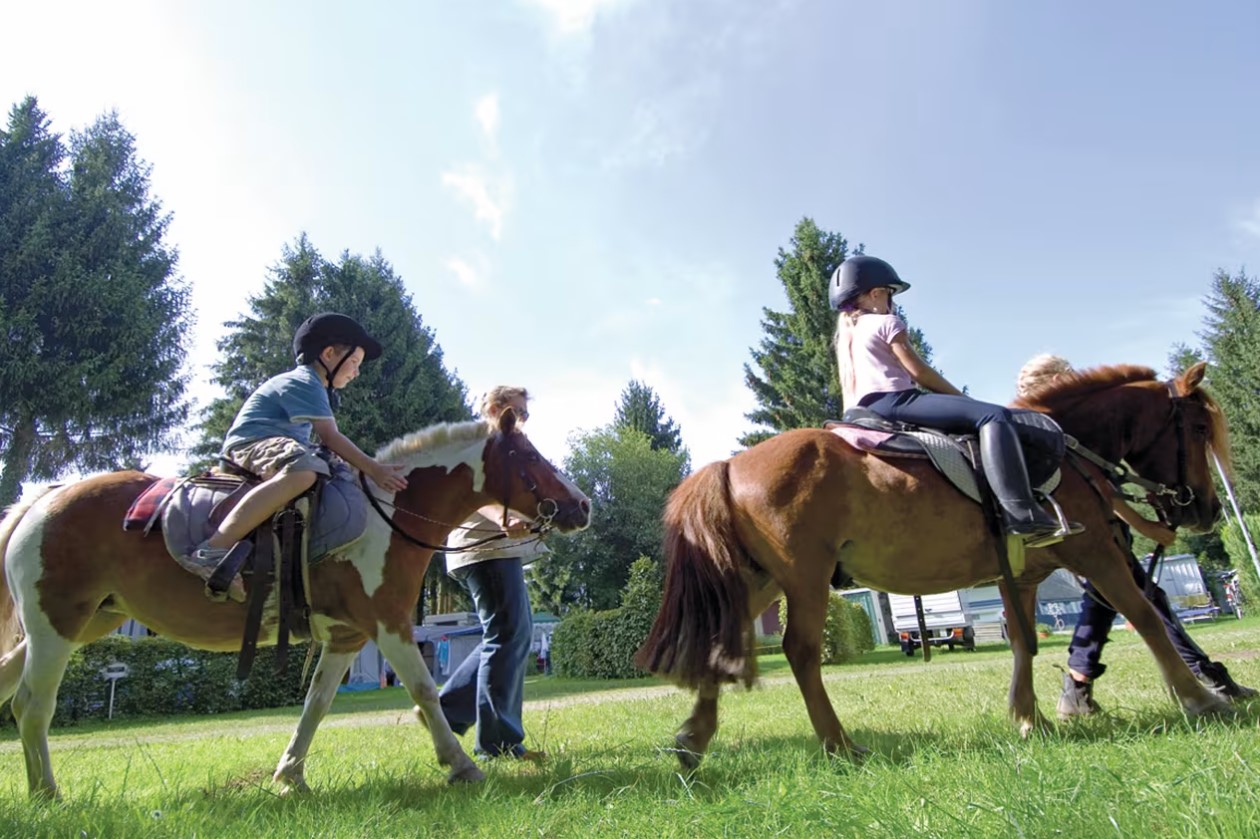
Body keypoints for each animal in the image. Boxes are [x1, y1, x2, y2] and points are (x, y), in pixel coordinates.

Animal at [0, 410, 589, 796]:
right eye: (529, 456)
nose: (582, 506)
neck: (388, 512)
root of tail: (44, 499)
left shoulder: (348, 637)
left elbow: (316, 705)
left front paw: (290, 775)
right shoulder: (390, 624)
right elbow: (424, 690)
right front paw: (461, 765)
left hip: (79, 623)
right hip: (56, 626)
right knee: (32, 706)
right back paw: (47, 794)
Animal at [635, 360, 1224, 765]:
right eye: (1197, 429)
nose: (1208, 508)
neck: (1064, 452)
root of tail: (731, 463)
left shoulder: (1021, 574)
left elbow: (1023, 640)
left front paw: (1027, 717)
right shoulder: (1096, 553)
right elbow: (1146, 616)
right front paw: (1201, 700)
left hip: (763, 581)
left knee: (721, 640)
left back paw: (694, 738)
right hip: (805, 579)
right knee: (800, 651)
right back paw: (839, 744)